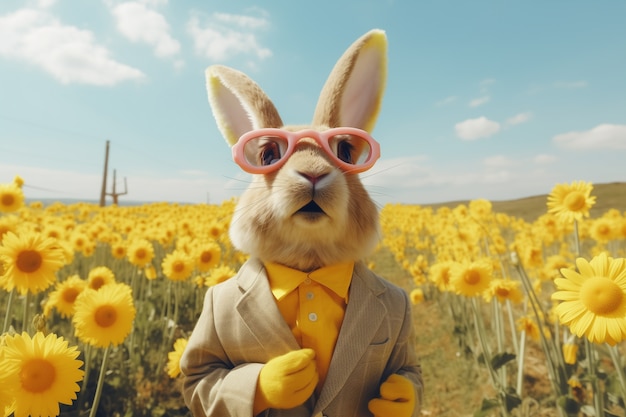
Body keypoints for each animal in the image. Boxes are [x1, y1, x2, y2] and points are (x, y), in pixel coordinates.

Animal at [180, 29, 424, 416]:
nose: (312, 174)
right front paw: (288, 375)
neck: (309, 267)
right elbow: (201, 376)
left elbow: (408, 372)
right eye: (268, 154)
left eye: (345, 151)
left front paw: (396, 396)